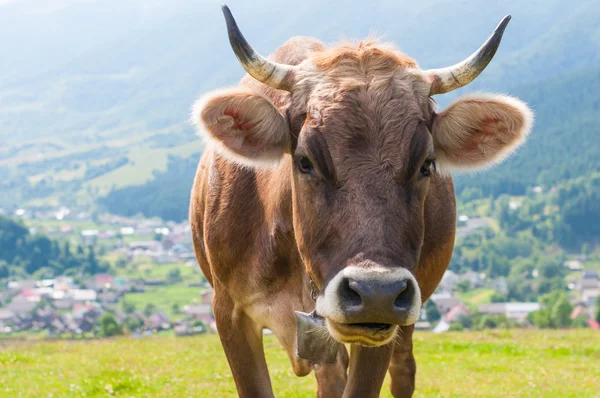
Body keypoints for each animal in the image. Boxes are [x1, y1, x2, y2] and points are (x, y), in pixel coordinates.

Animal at [190, 5, 532, 398]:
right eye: (305, 161)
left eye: (426, 164)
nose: (375, 292)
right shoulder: (229, 311)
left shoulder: (384, 323)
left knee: (402, 369)